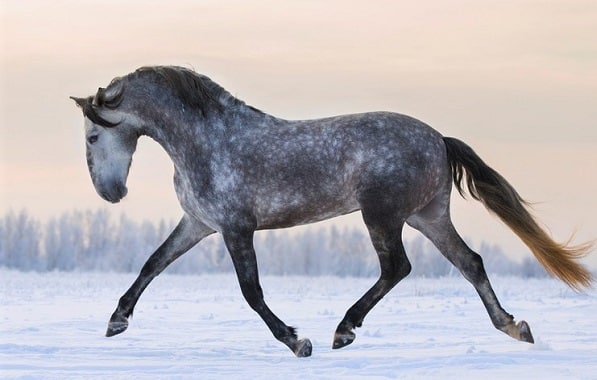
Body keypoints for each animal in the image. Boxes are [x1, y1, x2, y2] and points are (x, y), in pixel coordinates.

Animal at [70, 65, 592, 356]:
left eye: (92, 136)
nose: (110, 194)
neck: (205, 141)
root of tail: (438, 139)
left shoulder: (237, 228)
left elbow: (251, 292)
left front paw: (298, 342)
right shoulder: (198, 224)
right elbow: (152, 265)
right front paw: (116, 321)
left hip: (382, 215)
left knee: (397, 267)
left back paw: (344, 330)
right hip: (428, 216)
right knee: (470, 263)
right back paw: (514, 327)